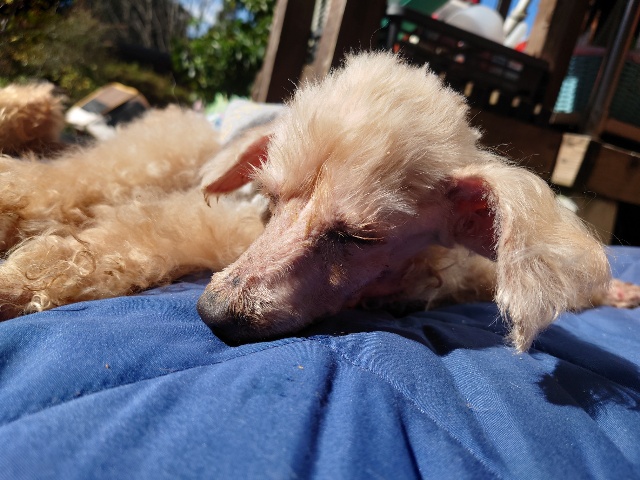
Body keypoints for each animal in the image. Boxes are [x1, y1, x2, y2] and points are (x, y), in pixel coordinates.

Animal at [1, 53, 638, 352]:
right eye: (272, 196)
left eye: (358, 237)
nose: (214, 315)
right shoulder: (234, 220)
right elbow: (139, 233)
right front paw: (22, 281)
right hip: (175, 145)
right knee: (81, 174)